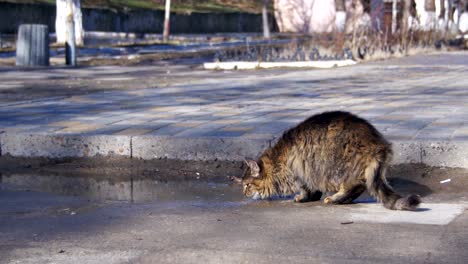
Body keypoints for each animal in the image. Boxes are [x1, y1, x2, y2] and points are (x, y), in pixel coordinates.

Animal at [239, 111, 418, 210]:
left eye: (247, 185)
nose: (243, 193)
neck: (276, 159)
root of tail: (377, 143)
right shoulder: (307, 172)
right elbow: (313, 189)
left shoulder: (298, 171)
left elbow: (305, 189)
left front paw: (303, 197)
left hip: (335, 167)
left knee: (354, 185)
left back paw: (335, 198)